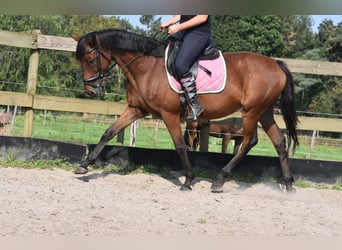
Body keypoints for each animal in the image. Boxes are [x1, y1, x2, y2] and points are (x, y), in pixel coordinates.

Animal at [73, 29, 298, 193]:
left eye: (90, 59)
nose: (90, 90)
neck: (147, 66)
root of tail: (275, 64)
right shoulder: (136, 109)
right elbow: (109, 132)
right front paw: (85, 164)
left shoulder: (169, 114)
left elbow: (180, 146)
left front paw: (188, 180)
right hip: (265, 112)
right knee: (279, 142)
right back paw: (288, 185)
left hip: (252, 111)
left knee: (249, 142)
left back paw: (219, 180)